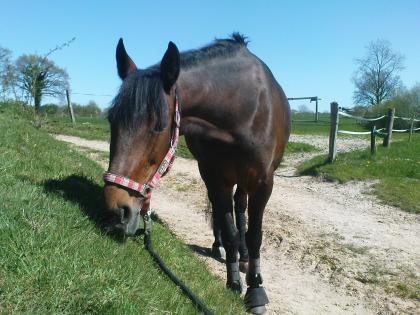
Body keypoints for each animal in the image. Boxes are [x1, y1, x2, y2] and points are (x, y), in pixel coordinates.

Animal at [103, 32, 290, 314]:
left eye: (158, 126)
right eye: (112, 120)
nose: (116, 209)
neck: (244, 110)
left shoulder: (263, 182)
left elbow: (255, 235)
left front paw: (255, 289)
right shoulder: (216, 178)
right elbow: (230, 230)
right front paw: (233, 282)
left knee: (241, 207)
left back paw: (246, 257)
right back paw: (220, 247)